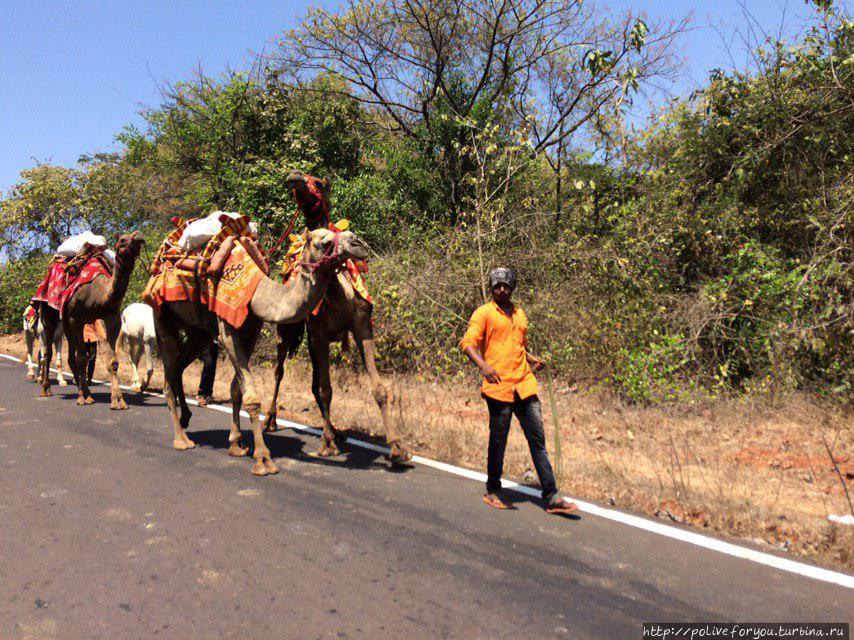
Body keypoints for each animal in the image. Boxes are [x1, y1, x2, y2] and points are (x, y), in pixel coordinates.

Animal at [38, 231, 145, 410]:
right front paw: (84, 398)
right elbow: (82, 357)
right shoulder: (76, 318)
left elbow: (112, 361)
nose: (138, 237)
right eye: (123, 240)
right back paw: (46, 389)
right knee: (48, 350)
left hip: (66, 322)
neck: (97, 294)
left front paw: (118, 401)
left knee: (70, 355)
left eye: (136, 235)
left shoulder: (110, 317)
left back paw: (83, 389)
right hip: (49, 312)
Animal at [155, 226, 370, 476]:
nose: (358, 243)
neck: (258, 293)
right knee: (168, 373)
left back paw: (186, 418)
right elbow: (251, 396)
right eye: (322, 243)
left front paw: (236, 445)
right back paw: (181, 439)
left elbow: (236, 389)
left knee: (179, 367)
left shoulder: (252, 329)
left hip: (199, 332)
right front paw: (264, 459)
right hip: (162, 314)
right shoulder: (227, 327)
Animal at [260, 170, 410, 460]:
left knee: (314, 381)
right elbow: (327, 388)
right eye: (324, 243)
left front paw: (397, 447)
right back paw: (271, 419)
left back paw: (336, 431)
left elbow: (378, 389)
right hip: (287, 330)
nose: (293, 176)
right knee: (279, 370)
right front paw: (327, 443)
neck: (341, 300)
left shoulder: (362, 327)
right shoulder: (319, 334)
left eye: (320, 183)